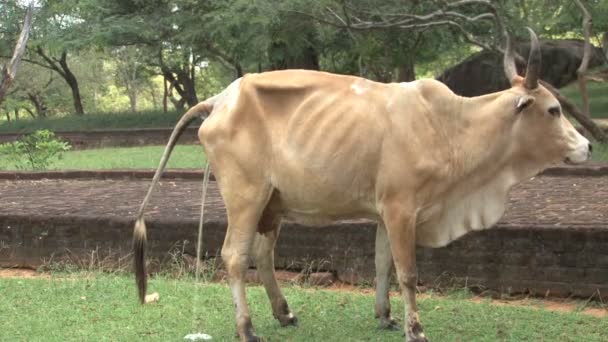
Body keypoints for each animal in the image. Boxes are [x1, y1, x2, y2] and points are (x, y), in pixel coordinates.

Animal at [132, 29, 588, 342]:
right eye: (552, 110)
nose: (585, 146)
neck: (449, 127)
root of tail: (221, 98)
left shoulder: (386, 211)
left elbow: (383, 263)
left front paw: (385, 316)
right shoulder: (403, 208)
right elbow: (408, 272)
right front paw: (415, 328)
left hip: (271, 204)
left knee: (263, 255)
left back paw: (284, 313)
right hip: (246, 196)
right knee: (234, 257)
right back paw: (246, 328)